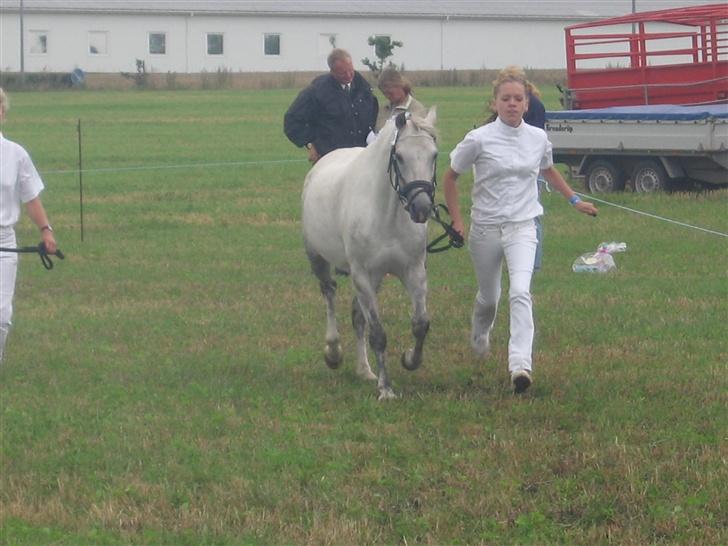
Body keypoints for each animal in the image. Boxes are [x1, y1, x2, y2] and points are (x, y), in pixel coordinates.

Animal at [302, 109, 438, 400]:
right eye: (400, 156)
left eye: (434, 155)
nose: (422, 208)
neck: (386, 214)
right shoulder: (362, 274)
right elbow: (378, 333)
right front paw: (386, 389)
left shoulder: (413, 271)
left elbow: (420, 324)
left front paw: (409, 359)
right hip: (319, 260)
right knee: (329, 295)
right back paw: (333, 352)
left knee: (356, 315)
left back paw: (364, 370)